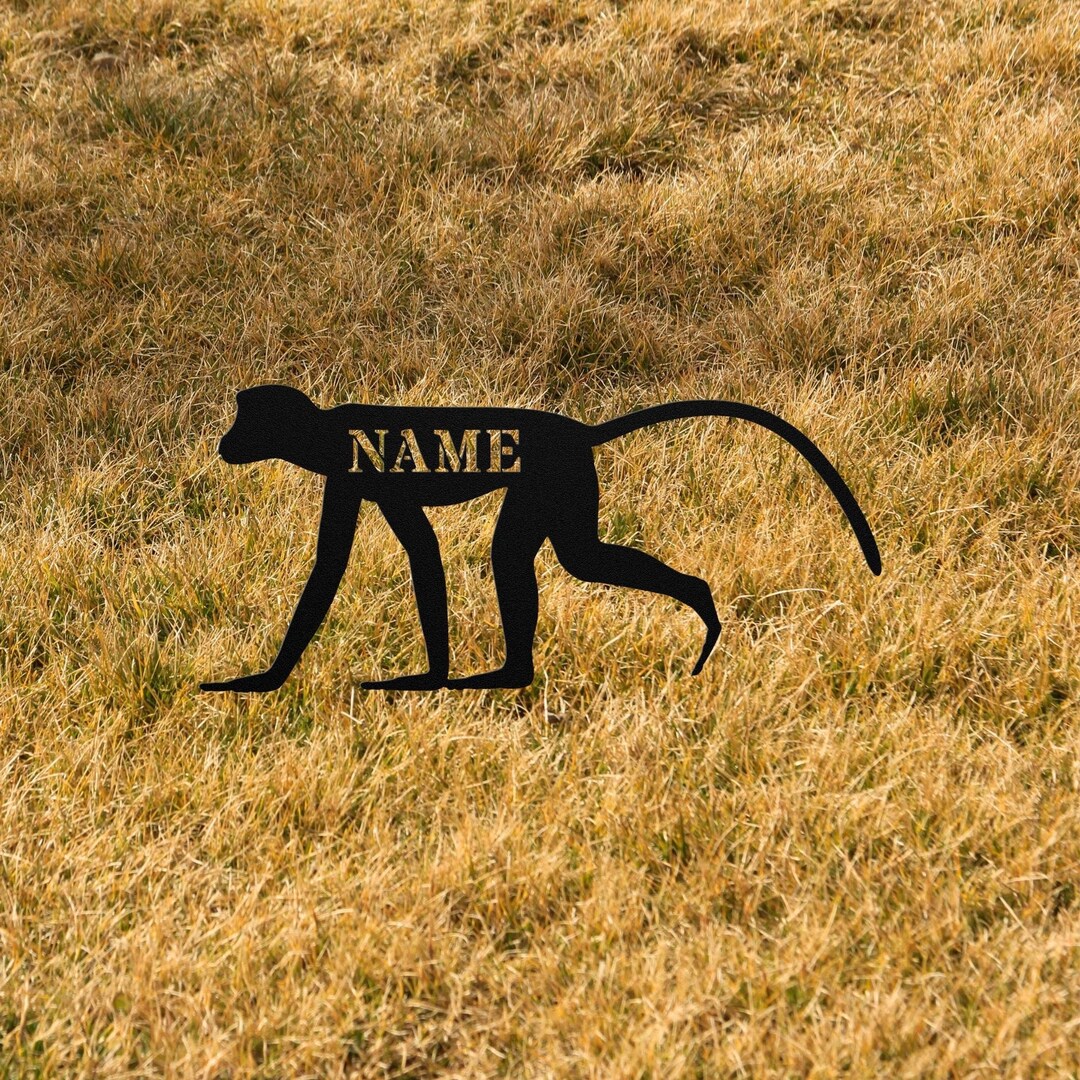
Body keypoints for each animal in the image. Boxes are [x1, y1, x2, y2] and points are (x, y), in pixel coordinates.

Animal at [199, 384, 881, 693]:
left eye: (243, 420)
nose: (224, 442)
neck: (322, 436)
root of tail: (578, 430)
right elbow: (359, 560)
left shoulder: (360, 469)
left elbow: (396, 556)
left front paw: (426, 679)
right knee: (550, 555)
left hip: (558, 473)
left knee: (558, 558)